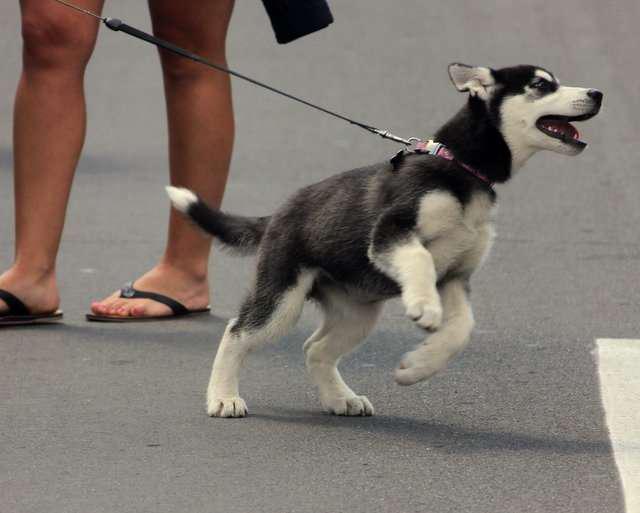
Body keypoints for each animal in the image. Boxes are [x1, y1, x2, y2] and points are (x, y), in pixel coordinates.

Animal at [168, 63, 604, 416]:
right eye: (540, 85)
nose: (598, 93)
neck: (462, 168)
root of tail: (279, 212)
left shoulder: (456, 276)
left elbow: (462, 329)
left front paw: (417, 367)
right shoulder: (391, 233)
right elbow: (420, 260)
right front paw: (423, 307)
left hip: (357, 314)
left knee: (315, 349)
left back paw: (340, 398)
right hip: (282, 297)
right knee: (237, 332)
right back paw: (223, 397)